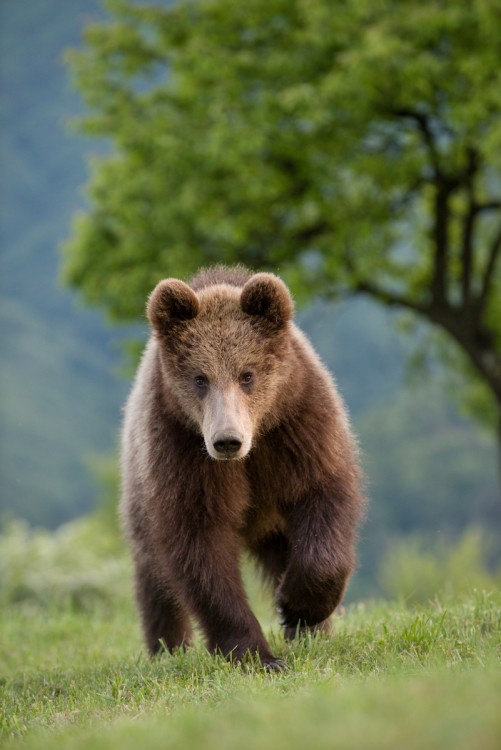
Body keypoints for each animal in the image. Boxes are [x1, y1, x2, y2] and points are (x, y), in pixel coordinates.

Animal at [120, 264, 364, 668]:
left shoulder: (298, 426)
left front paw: (295, 607)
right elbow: (200, 544)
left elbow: (323, 495)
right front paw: (257, 655)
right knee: (154, 581)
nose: (227, 440)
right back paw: (168, 649)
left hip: (274, 525)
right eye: (200, 378)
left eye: (247, 374)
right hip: (139, 494)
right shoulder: (181, 451)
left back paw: (312, 631)